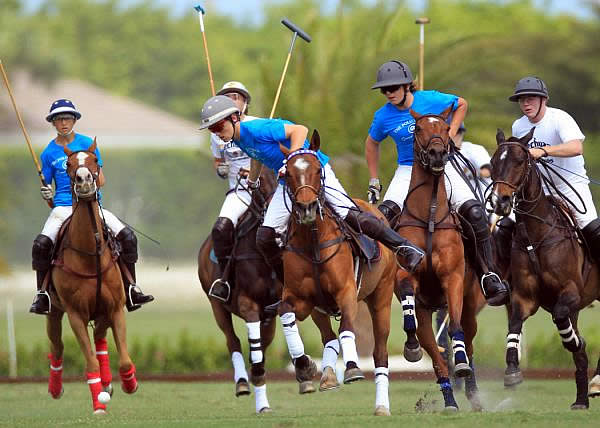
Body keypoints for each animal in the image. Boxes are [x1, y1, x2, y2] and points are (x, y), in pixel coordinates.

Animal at [46, 140, 138, 414]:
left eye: (96, 160)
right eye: (68, 164)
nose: (84, 180)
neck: (91, 254)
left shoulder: (115, 307)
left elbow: (124, 360)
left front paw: (129, 383)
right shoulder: (76, 314)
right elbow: (90, 363)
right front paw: (99, 403)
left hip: (103, 310)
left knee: (99, 339)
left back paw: (109, 383)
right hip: (55, 310)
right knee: (57, 347)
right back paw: (56, 388)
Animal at [197, 168, 282, 414]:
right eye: (260, 184)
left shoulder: (273, 308)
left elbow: (260, 351)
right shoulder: (248, 303)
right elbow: (251, 348)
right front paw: (261, 401)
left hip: (268, 319)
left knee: (262, 344)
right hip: (217, 306)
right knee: (232, 340)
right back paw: (242, 382)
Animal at [276, 130, 398, 414]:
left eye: (317, 169)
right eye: (288, 174)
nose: (307, 208)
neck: (313, 243)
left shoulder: (346, 292)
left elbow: (347, 329)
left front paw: (352, 369)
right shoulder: (301, 299)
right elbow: (286, 312)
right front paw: (304, 366)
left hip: (382, 296)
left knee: (379, 352)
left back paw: (381, 405)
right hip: (320, 310)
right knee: (328, 337)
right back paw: (328, 376)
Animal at [394, 108, 488, 412]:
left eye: (446, 128)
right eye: (418, 128)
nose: (437, 154)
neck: (431, 217)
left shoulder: (453, 279)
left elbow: (456, 330)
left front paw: (461, 364)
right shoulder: (406, 274)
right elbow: (409, 306)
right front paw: (410, 346)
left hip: (471, 304)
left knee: (468, 342)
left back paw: (472, 391)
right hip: (428, 312)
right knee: (435, 357)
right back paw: (450, 400)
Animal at [488, 129, 600, 410]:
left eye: (520, 161)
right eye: (493, 163)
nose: (500, 201)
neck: (537, 236)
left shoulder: (571, 292)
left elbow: (562, 321)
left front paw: (574, 342)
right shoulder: (524, 297)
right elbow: (515, 323)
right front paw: (512, 372)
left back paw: (595, 382)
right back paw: (581, 398)